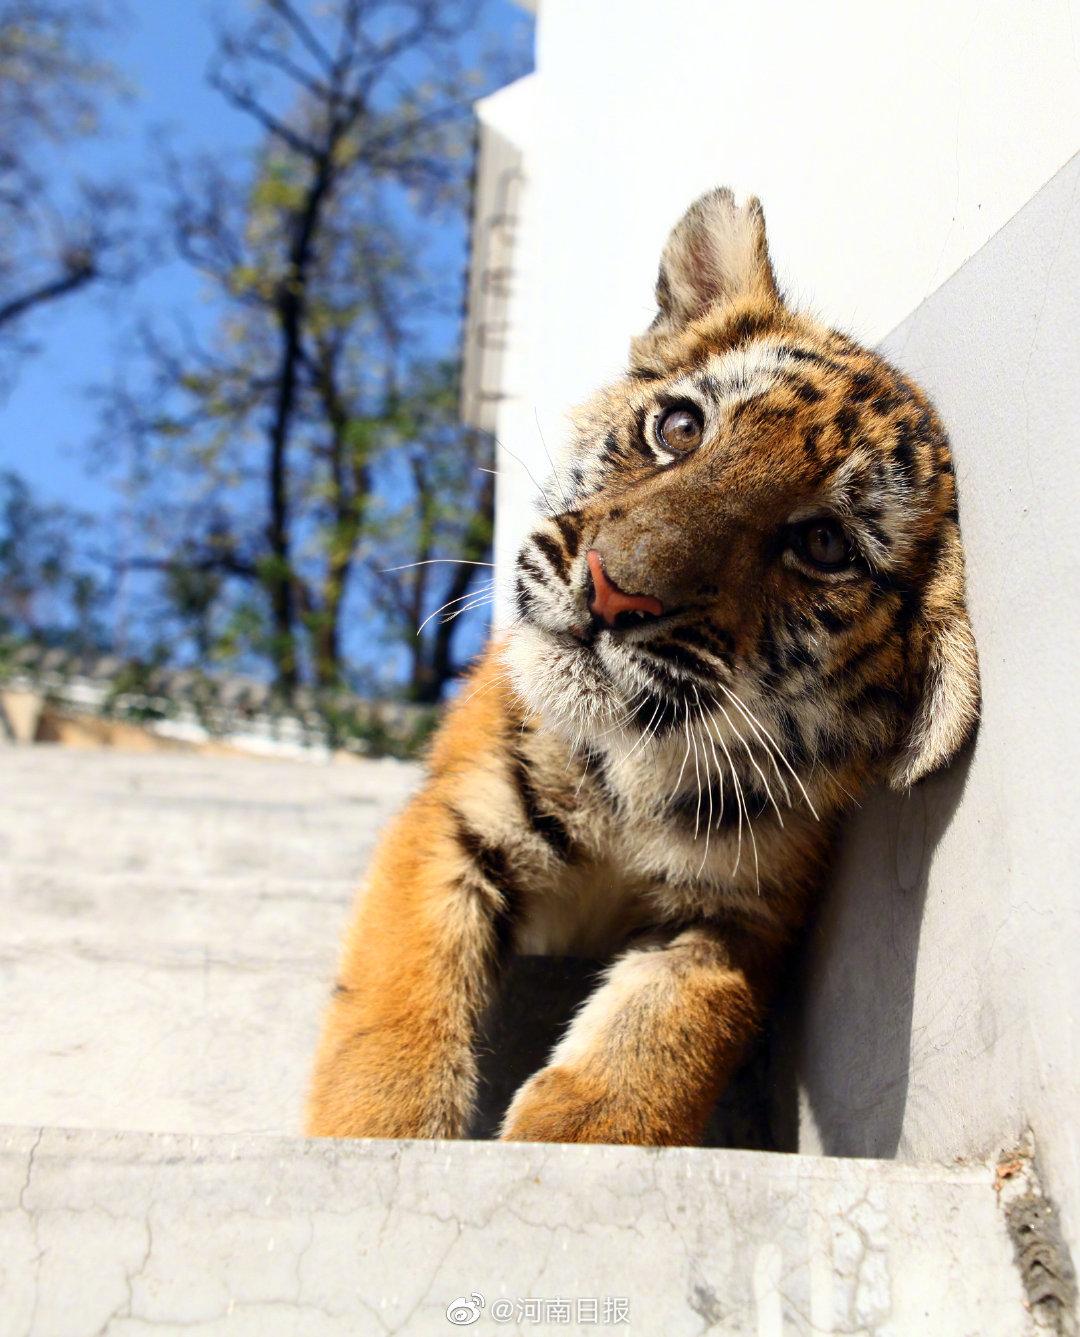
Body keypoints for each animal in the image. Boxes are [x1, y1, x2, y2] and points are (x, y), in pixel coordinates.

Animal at [307, 187, 980, 1146]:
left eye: (822, 544)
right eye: (680, 427)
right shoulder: (455, 815)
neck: (625, 777)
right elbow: (392, 1011)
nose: (611, 590)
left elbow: (651, 1052)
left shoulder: (741, 915)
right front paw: (376, 1138)